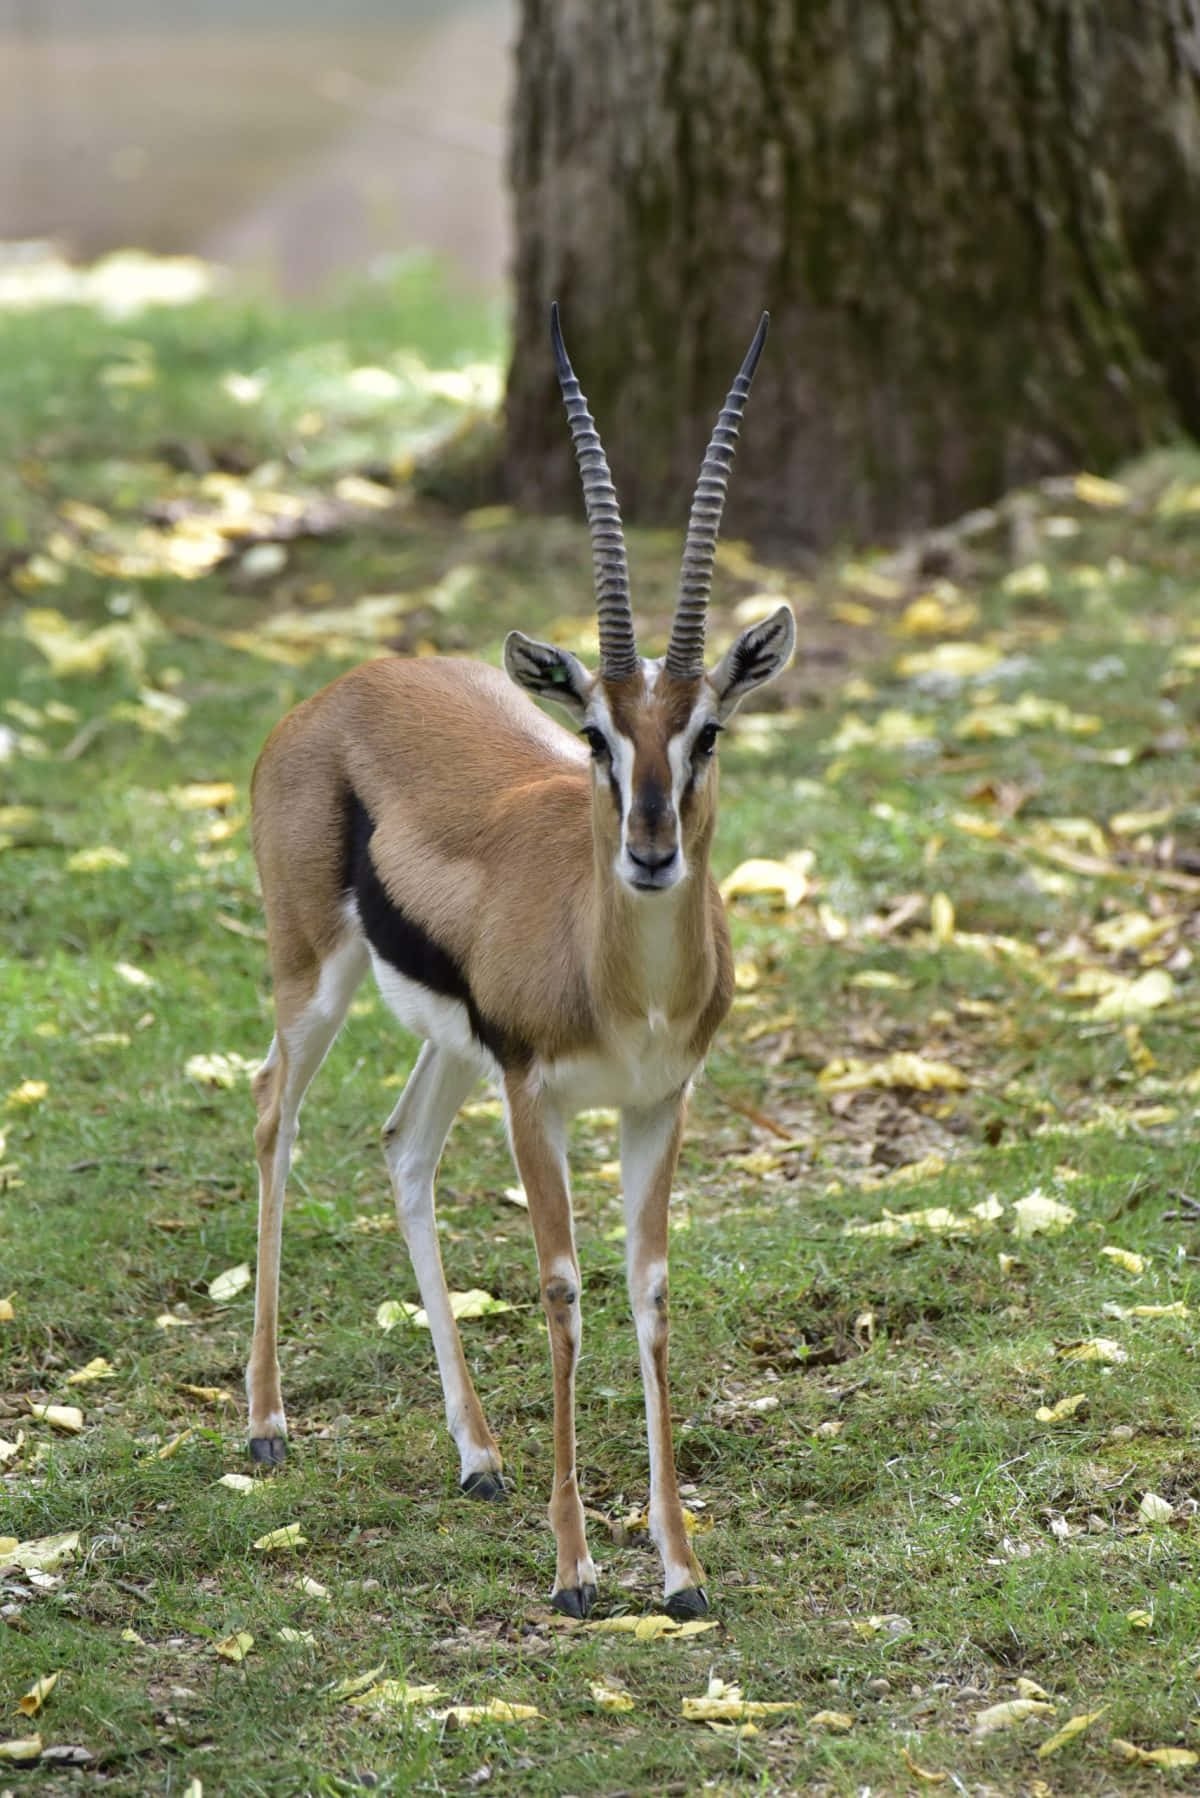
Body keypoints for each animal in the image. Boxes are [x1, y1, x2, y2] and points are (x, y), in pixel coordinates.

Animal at [246, 305, 795, 1619]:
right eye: (595, 733)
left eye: (707, 732)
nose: (650, 849)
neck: (625, 984)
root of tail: (344, 688)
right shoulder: (536, 1094)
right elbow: (559, 1284)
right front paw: (577, 1567)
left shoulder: (658, 1103)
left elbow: (648, 1289)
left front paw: (680, 1568)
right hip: (315, 981)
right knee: (274, 1111)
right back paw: (269, 1424)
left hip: (454, 1052)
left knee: (402, 1147)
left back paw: (478, 1455)